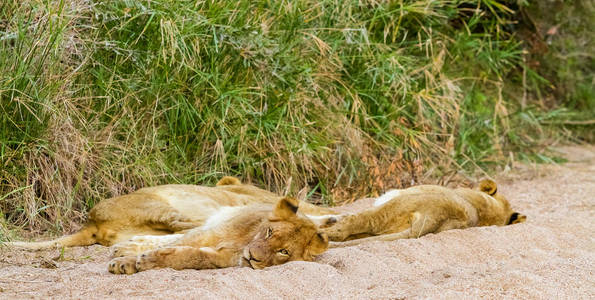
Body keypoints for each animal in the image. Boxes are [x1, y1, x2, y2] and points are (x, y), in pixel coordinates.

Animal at [107, 197, 330, 274]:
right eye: (269, 232)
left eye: (283, 251)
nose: (253, 257)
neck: (244, 242)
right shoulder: (210, 234)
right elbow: (175, 243)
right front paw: (125, 261)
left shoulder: (223, 258)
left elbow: (190, 256)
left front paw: (144, 261)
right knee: (177, 235)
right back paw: (125, 246)